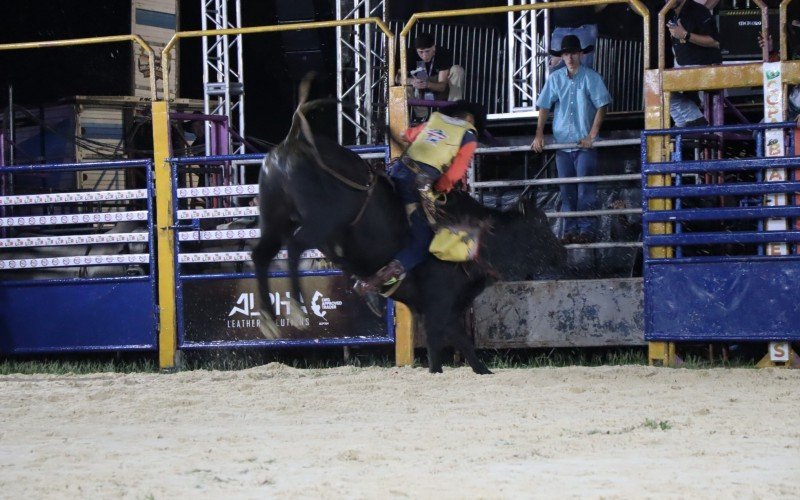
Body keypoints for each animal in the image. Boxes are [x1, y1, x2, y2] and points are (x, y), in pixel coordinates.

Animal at [253, 90, 564, 374]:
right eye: (541, 225)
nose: (563, 253)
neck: (480, 236)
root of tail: (294, 141)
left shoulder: (440, 307)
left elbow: (459, 342)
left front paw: (480, 371)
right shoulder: (439, 302)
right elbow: (445, 344)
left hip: (275, 217)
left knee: (262, 254)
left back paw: (269, 316)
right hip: (322, 224)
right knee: (294, 247)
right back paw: (295, 308)